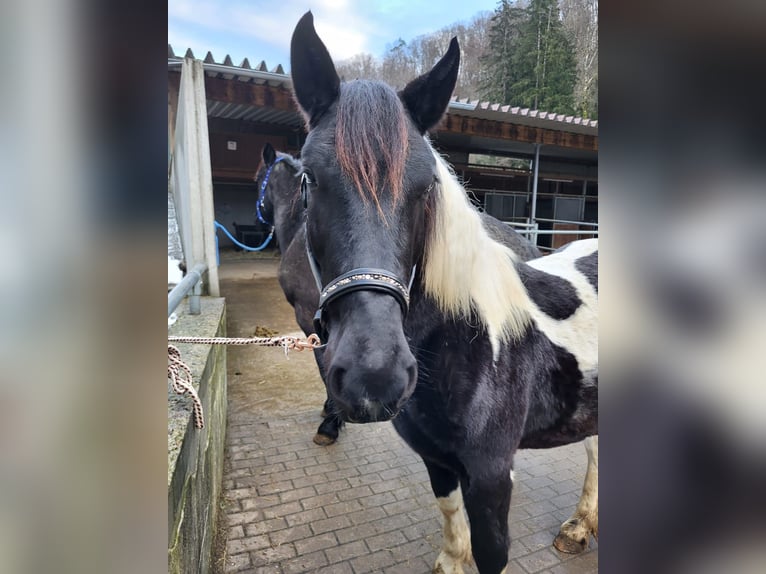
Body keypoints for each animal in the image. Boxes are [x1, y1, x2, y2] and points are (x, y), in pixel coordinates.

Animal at [292, 13, 600, 574]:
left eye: (425, 185)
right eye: (309, 179)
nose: (375, 375)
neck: (467, 339)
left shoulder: (493, 478)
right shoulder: (438, 462)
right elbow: (449, 516)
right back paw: (579, 526)